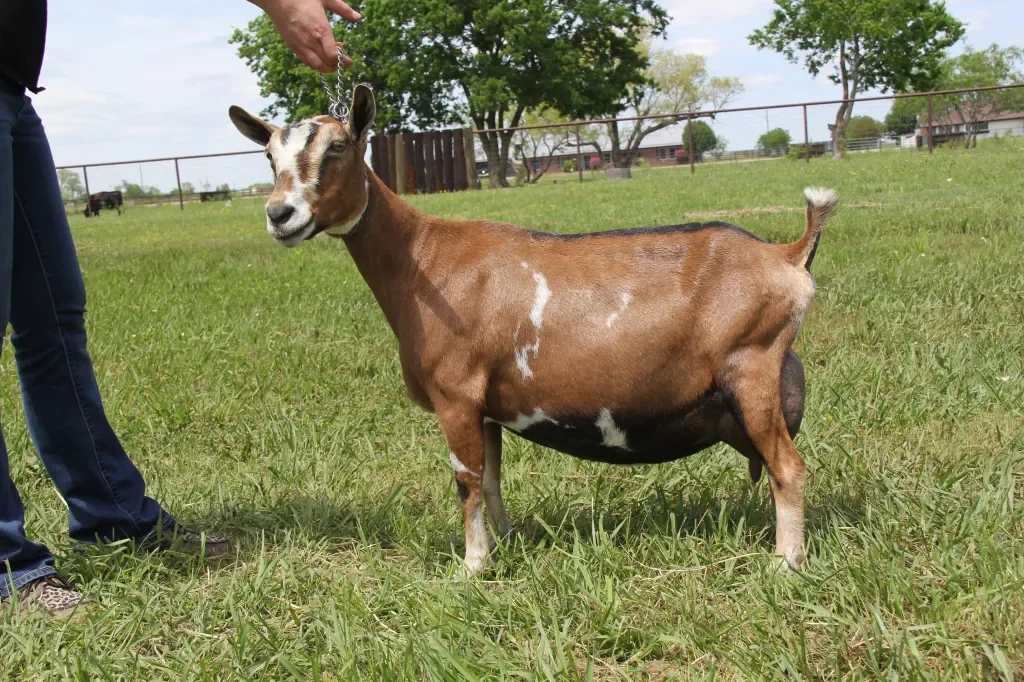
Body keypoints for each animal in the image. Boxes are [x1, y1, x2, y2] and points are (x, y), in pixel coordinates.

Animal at [228, 85, 838, 572]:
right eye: (268, 155)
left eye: (337, 148)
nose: (280, 215)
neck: (423, 257)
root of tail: (787, 254)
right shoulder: (487, 407)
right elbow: (492, 478)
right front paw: (505, 543)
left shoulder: (456, 395)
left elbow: (466, 481)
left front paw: (472, 568)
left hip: (751, 370)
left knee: (790, 468)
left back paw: (785, 563)